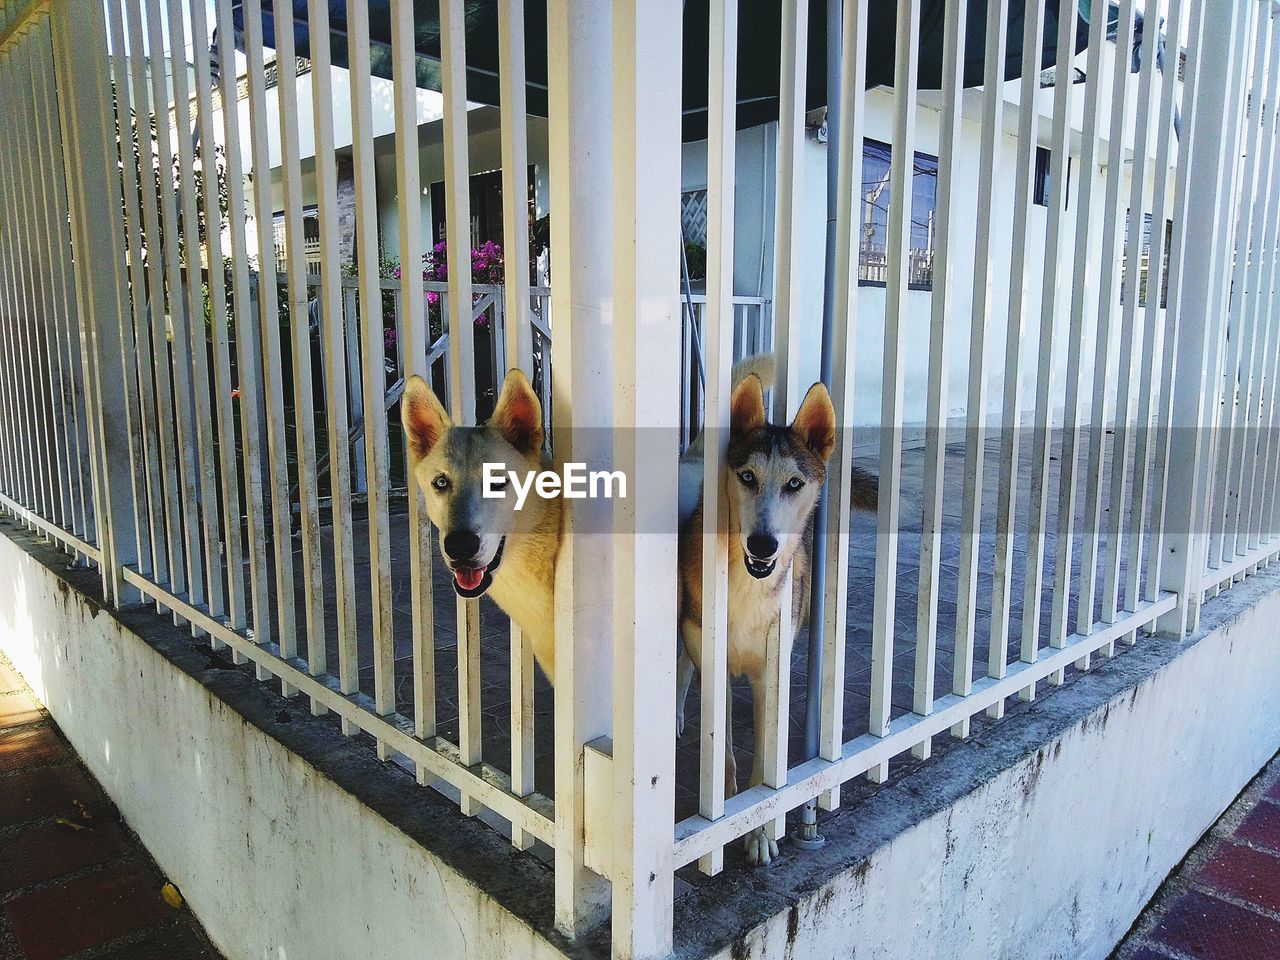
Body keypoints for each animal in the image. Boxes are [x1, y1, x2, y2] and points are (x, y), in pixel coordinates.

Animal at [680, 363, 880, 870]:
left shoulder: (771, 671)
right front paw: (724, 816)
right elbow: (723, 755)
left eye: (794, 484)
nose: (763, 544)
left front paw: (758, 834)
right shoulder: (714, 663)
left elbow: (765, 769)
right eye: (747, 476)